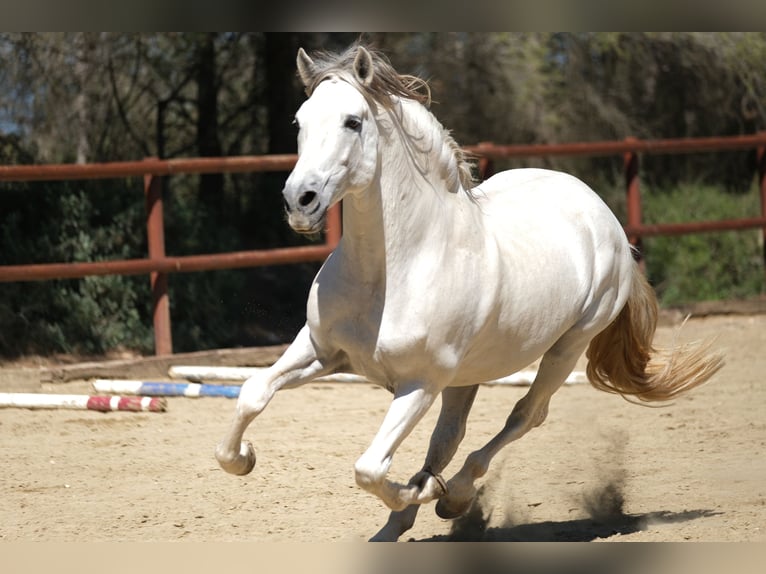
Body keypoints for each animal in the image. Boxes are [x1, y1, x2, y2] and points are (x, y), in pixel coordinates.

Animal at [218, 45, 728, 544]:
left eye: (353, 122)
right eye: (299, 122)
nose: (299, 202)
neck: (391, 271)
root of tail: (604, 216)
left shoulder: (419, 383)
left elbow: (370, 468)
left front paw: (423, 490)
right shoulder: (322, 350)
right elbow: (253, 392)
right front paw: (243, 457)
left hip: (565, 348)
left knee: (524, 416)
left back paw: (452, 497)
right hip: (465, 376)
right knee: (450, 437)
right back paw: (398, 525)